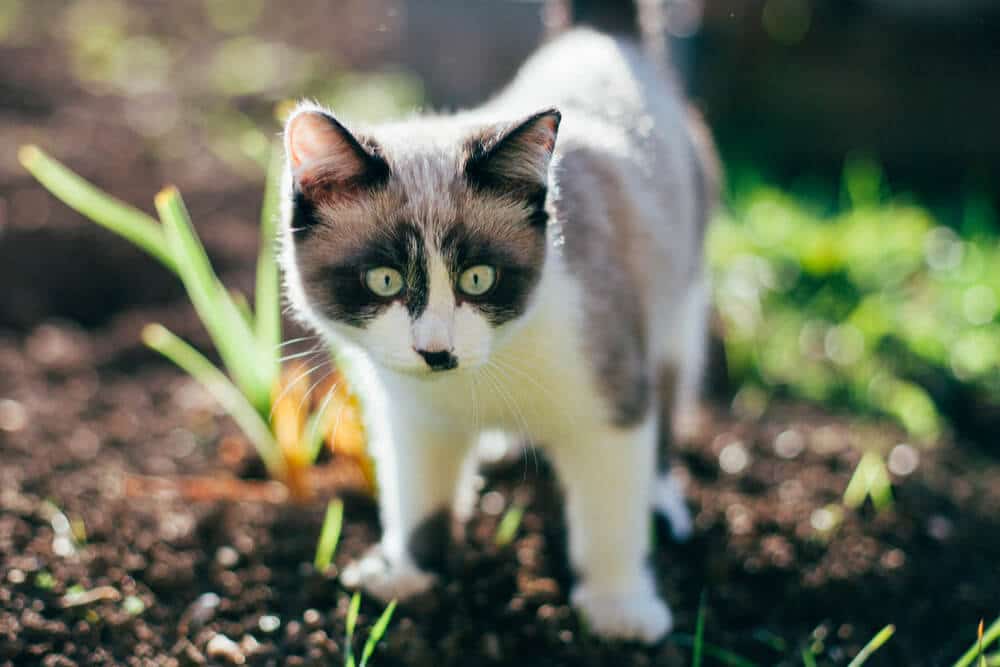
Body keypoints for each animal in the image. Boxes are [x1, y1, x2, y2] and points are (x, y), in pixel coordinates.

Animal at [276, 0, 720, 640]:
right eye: (383, 281)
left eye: (479, 279)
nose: (436, 352)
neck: (476, 382)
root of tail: (603, 35)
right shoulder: (414, 419)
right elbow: (419, 502)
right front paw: (408, 576)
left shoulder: (611, 406)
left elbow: (610, 522)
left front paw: (620, 610)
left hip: (677, 307)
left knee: (667, 402)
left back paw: (660, 500)